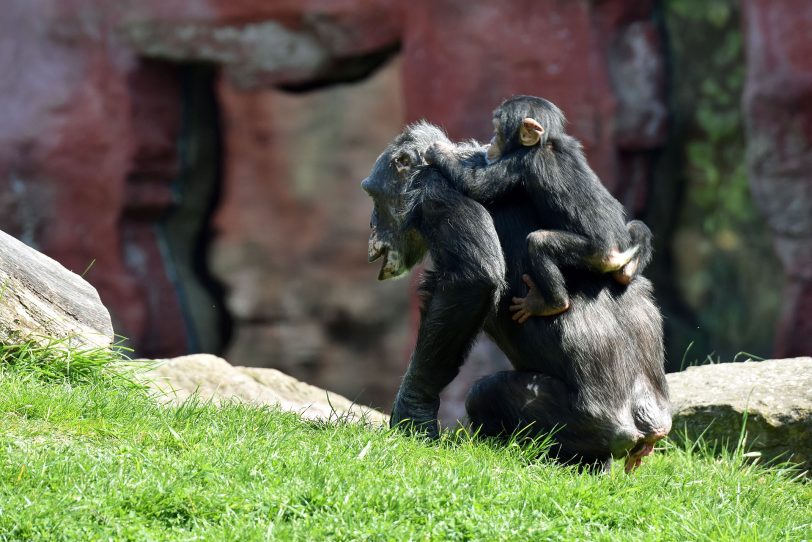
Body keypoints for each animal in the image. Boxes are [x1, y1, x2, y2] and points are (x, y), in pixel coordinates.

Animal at [364, 123, 668, 472]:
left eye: (373, 196)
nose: (370, 223)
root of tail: (649, 424)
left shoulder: (434, 193)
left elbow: (473, 278)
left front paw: (413, 411)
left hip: (585, 423)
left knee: (483, 393)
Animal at [426, 96, 652, 324]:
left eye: (497, 131)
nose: (491, 140)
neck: (545, 143)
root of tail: (620, 252)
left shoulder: (519, 160)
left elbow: (475, 185)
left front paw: (438, 151)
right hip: (625, 244)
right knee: (639, 227)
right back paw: (627, 271)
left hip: (596, 254)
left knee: (539, 243)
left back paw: (550, 304)